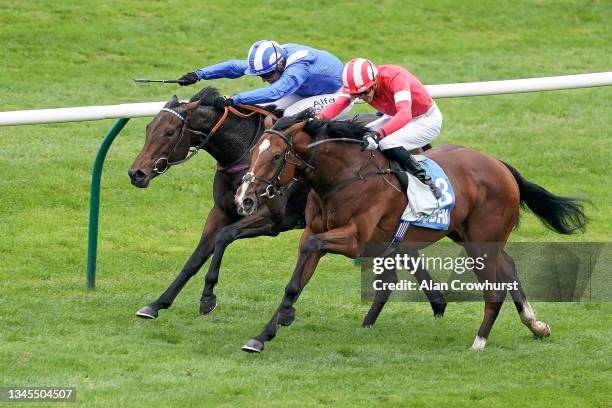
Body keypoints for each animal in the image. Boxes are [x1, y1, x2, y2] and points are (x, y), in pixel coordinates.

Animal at [128, 88, 444, 322]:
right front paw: (157, 303)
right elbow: (195, 258)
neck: (244, 152)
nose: (136, 173)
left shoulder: (271, 220)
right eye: (148, 128)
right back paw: (437, 304)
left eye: (169, 132)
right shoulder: (220, 212)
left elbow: (224, 238)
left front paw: (207, 297)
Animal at [235, 110, 588, 352]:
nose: (245, 199)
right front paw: (262, 335)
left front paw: (286, 317)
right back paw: (535, 324)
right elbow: (295, 282)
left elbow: (313, 251)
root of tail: (500, 165)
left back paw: (479, 341)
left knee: (495, 288)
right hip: (468, 236)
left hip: (481, 242)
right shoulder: (315, 234)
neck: (343, 176)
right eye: (252, 153)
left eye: (276, 156)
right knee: (510, 267)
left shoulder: (355, 240)